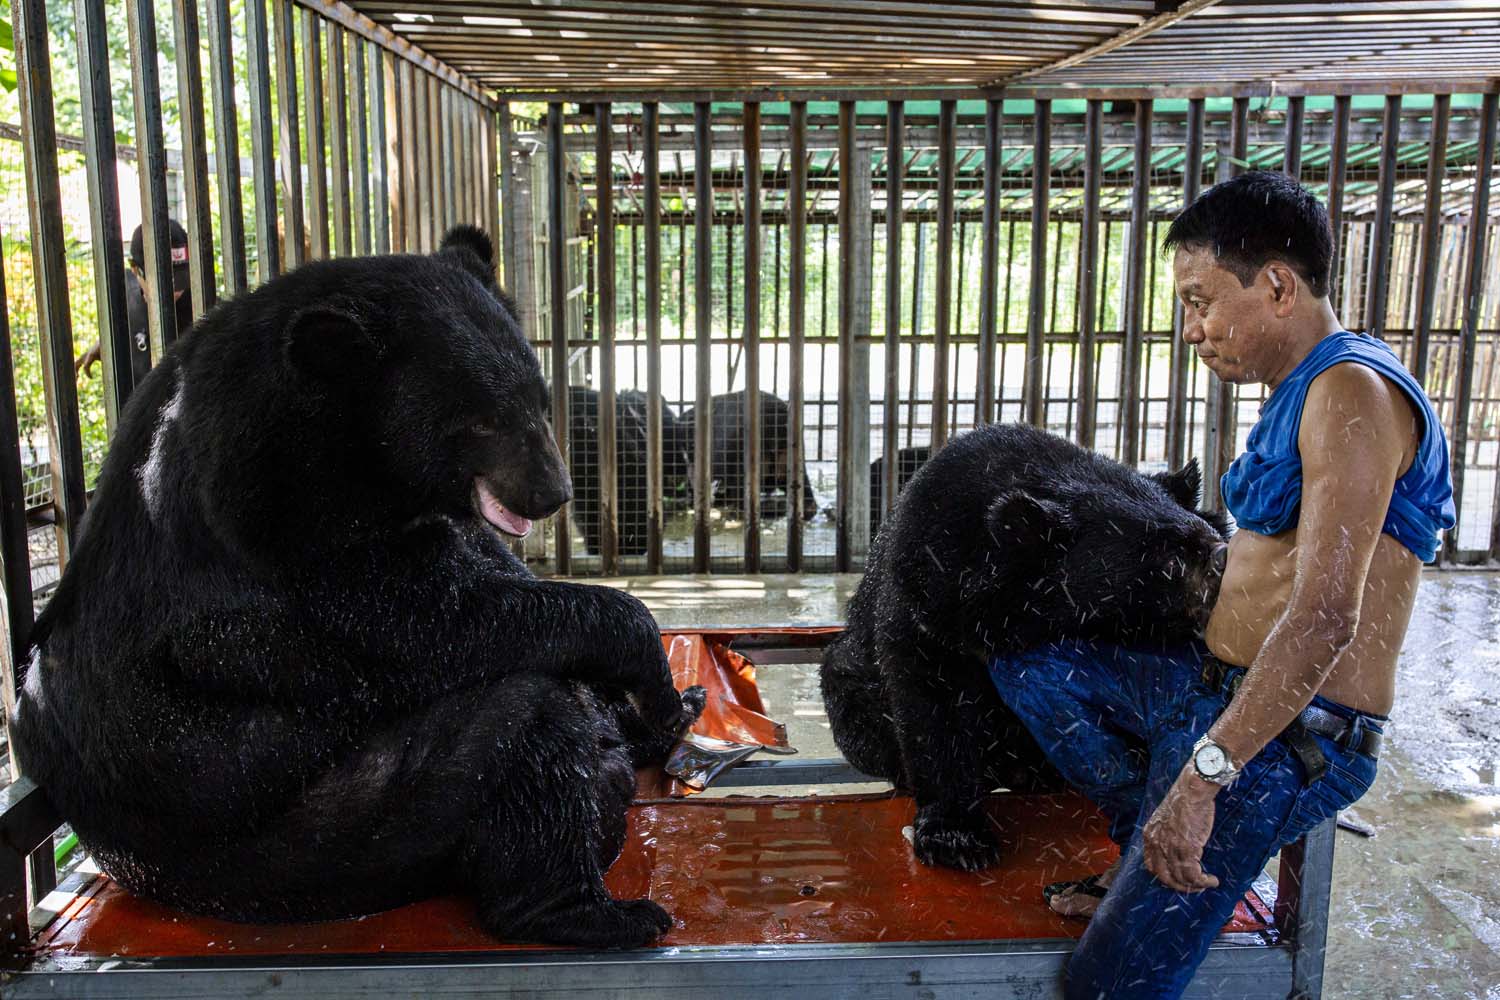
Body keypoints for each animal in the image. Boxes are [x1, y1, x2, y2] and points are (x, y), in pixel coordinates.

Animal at [11, 226, 702, 947]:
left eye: (540, 401)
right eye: (482, 421)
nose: (551, 493)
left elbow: (480, 567)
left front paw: (656, 701)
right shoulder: (271, 517)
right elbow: (421, 617)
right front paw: (648, 668)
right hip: (327, 838)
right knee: (529, 726)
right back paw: (592, 908)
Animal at [822, 425, 1230, 869]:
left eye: (1204, 533)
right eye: (1170, 557)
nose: (1225, 560)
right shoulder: (927, 596)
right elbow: (935, 703)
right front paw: (957, 838)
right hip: (849, 679)